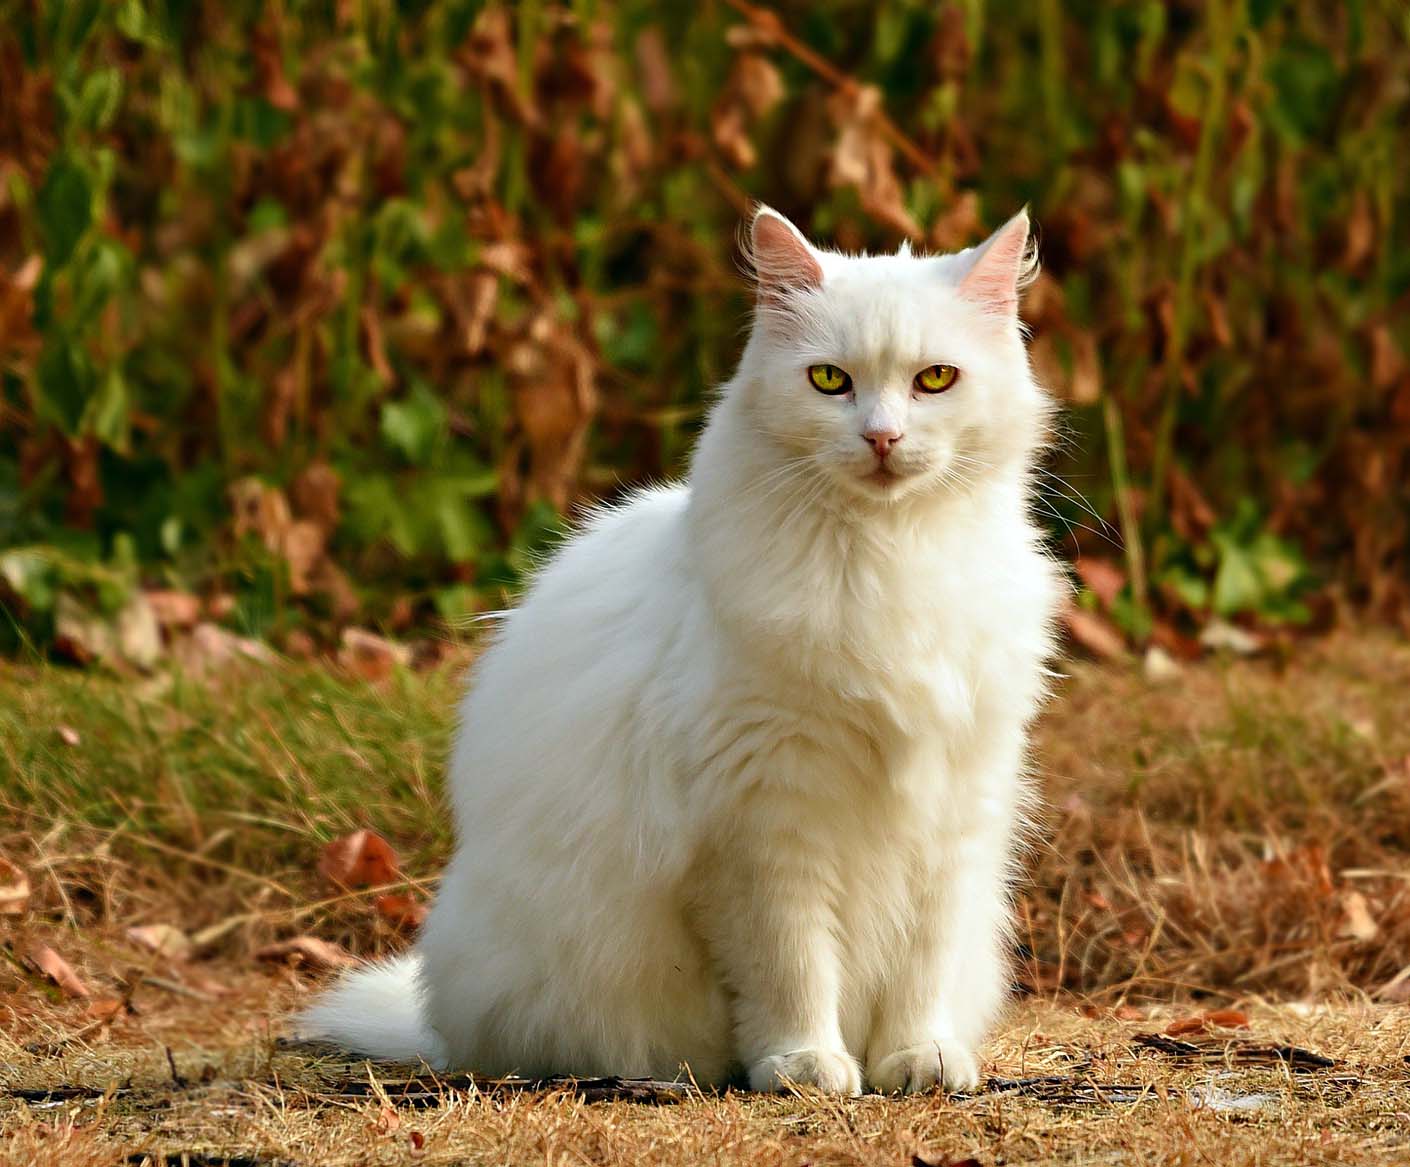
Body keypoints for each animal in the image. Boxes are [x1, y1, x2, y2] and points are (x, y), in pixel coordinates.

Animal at [300, 202, 1065, 1093]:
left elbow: (923, 963)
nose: (882, 437)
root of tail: (441, 1023)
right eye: (829, 381)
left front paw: (918, 1058)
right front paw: (805, 1064)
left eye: (934, 380)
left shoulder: (953, 805)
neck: (892, 559)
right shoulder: (763, 822)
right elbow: (792, 964)